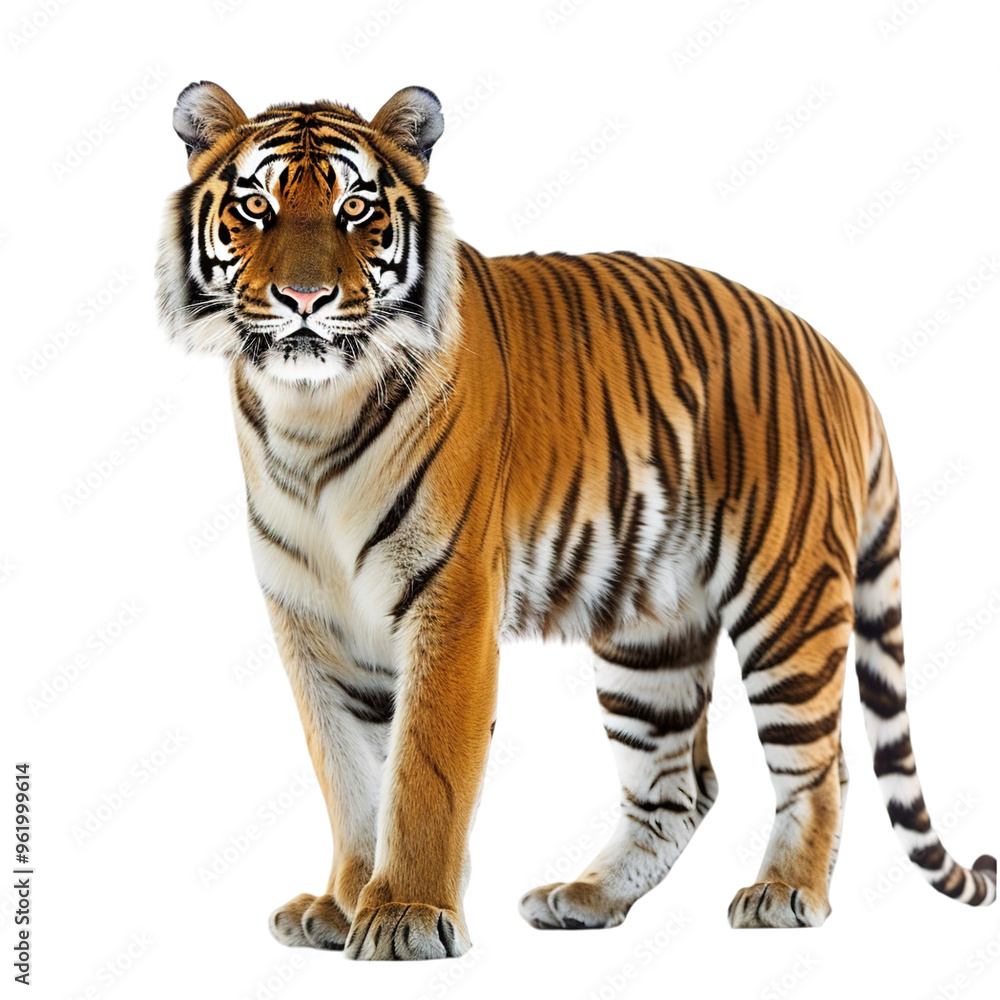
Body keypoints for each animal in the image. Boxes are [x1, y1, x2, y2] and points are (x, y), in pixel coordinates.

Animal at [156, 81, 996, 961]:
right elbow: (348, 772)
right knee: (682, 784)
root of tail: (839, 361)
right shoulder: (312, 618)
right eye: (255, 206)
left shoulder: (451, 599)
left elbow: (422, 771)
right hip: (652, 634)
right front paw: (342, 904)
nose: (305, 300)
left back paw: (784, 892)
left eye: (356, 209)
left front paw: (406, 915)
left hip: (788, 605)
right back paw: (587, 898)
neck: (310, 416)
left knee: (822, 763)